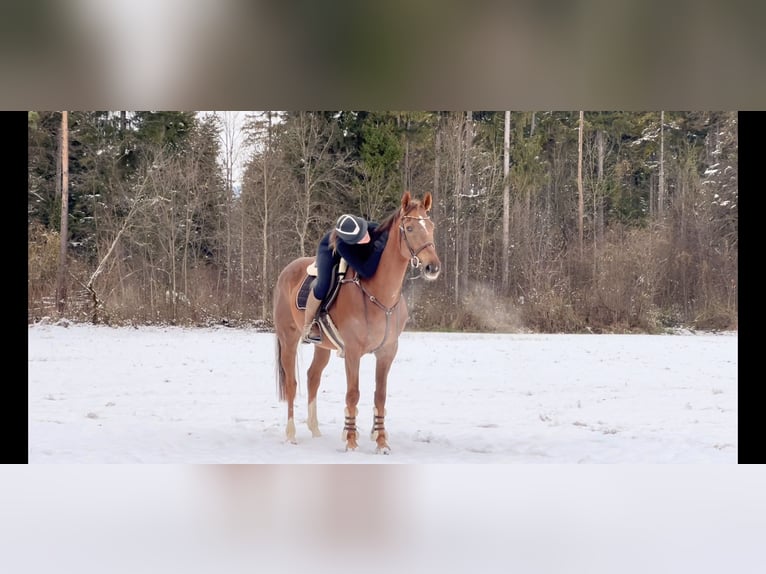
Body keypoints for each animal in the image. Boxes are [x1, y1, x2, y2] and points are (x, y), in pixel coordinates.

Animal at [276, 192, 444, 454]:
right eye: (409, 228)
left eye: (431, 227)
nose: (432, 266)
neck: (379, 294)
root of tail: (287, 270)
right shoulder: (353, 352)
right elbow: (353, 394)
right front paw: (352, 441)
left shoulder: (387, 352)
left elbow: (380, 396)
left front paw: (381, 442)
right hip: (288, 339)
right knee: (292, 383)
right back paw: (291, 434)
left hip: (322, 346)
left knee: (313, 377)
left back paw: (315, 430)